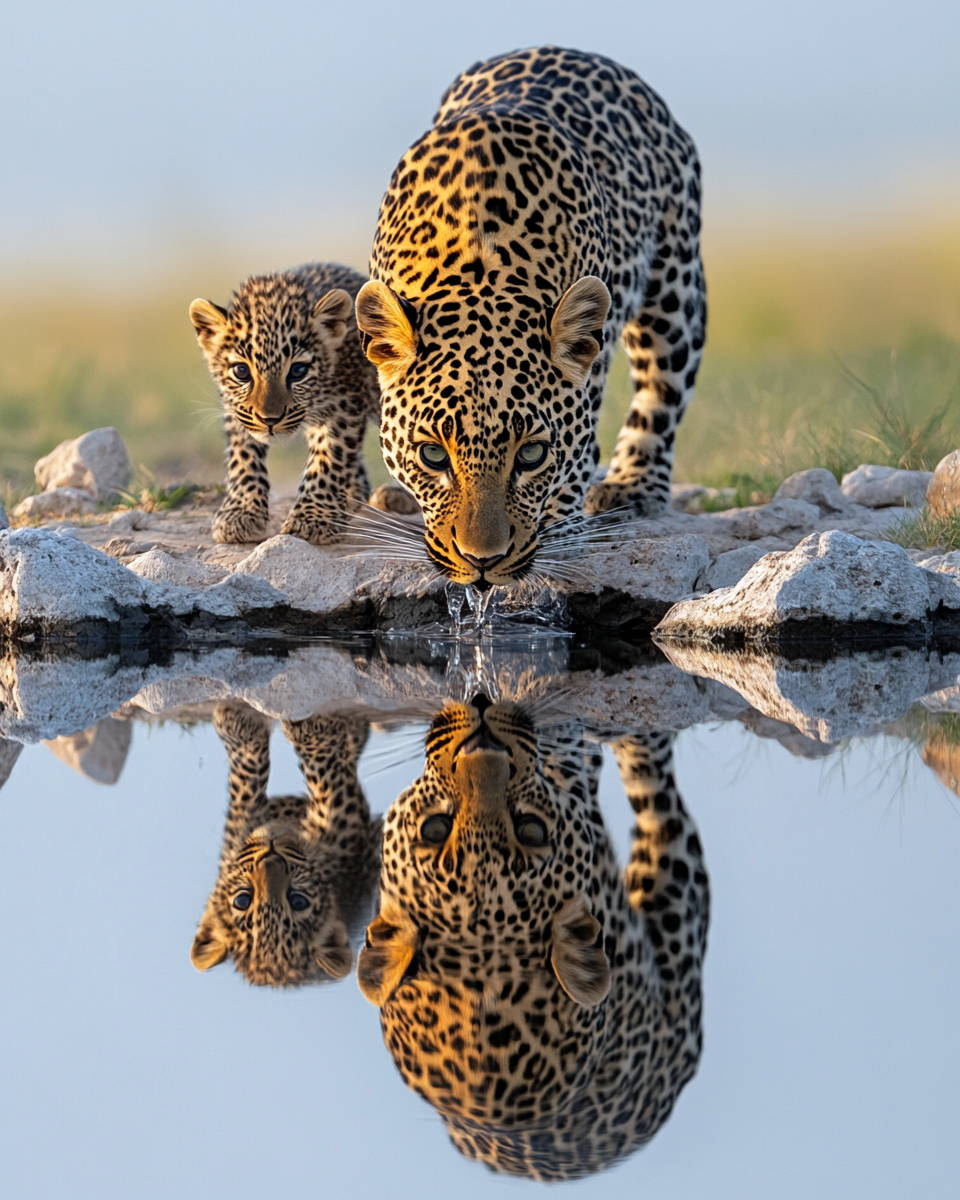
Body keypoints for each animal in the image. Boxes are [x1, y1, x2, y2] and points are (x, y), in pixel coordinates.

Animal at [190, 263, 383, 545]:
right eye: (241, 371)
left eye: (298, 371)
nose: (269, 420)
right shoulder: (236, 410)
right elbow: (243, 457)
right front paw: (240, 512)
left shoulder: (344, 405)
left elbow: (328, 458)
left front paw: (312, 517)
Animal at [355, 45, 706, 590]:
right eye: (432, 455)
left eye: (531, 455)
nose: (482, 564)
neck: (478, 264)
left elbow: (580, 451)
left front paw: (560, 523)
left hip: (675, 285)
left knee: (662, 389)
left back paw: (631, 484)